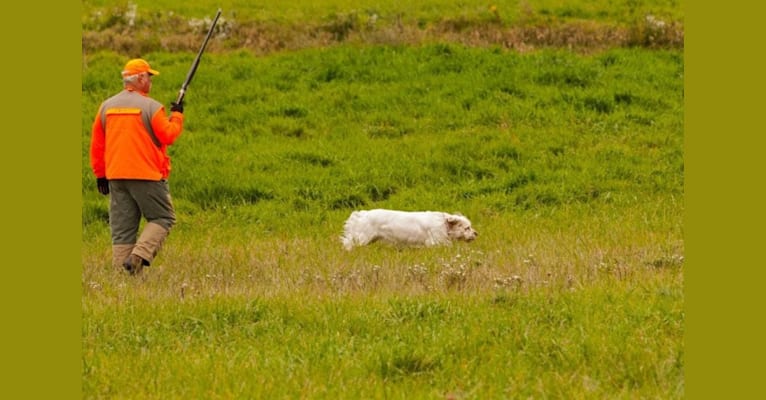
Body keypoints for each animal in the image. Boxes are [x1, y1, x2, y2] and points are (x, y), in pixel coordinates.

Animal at [344, 209, 480, 250]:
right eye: (467, 228)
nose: (476, 233)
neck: (443, 224)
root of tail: (363, 214)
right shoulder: (435, 241)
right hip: (362, 239)